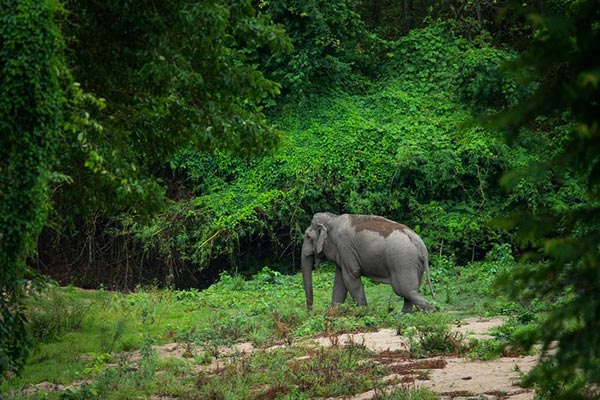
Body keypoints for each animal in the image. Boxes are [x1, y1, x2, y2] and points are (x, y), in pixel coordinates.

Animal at [300, 212, 436, 312]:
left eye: (308, 236)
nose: (310, 310)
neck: (333, 219)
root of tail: (422, 247)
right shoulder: (342, 253)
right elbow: (340, 282)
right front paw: (334, 314)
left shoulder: (345, 248)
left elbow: (351, 278)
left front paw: (363, 313)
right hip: (414, 264)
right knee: (410, 292)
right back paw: (403, 317)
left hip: (403, 261)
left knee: (405, 291)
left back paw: (431, 312)